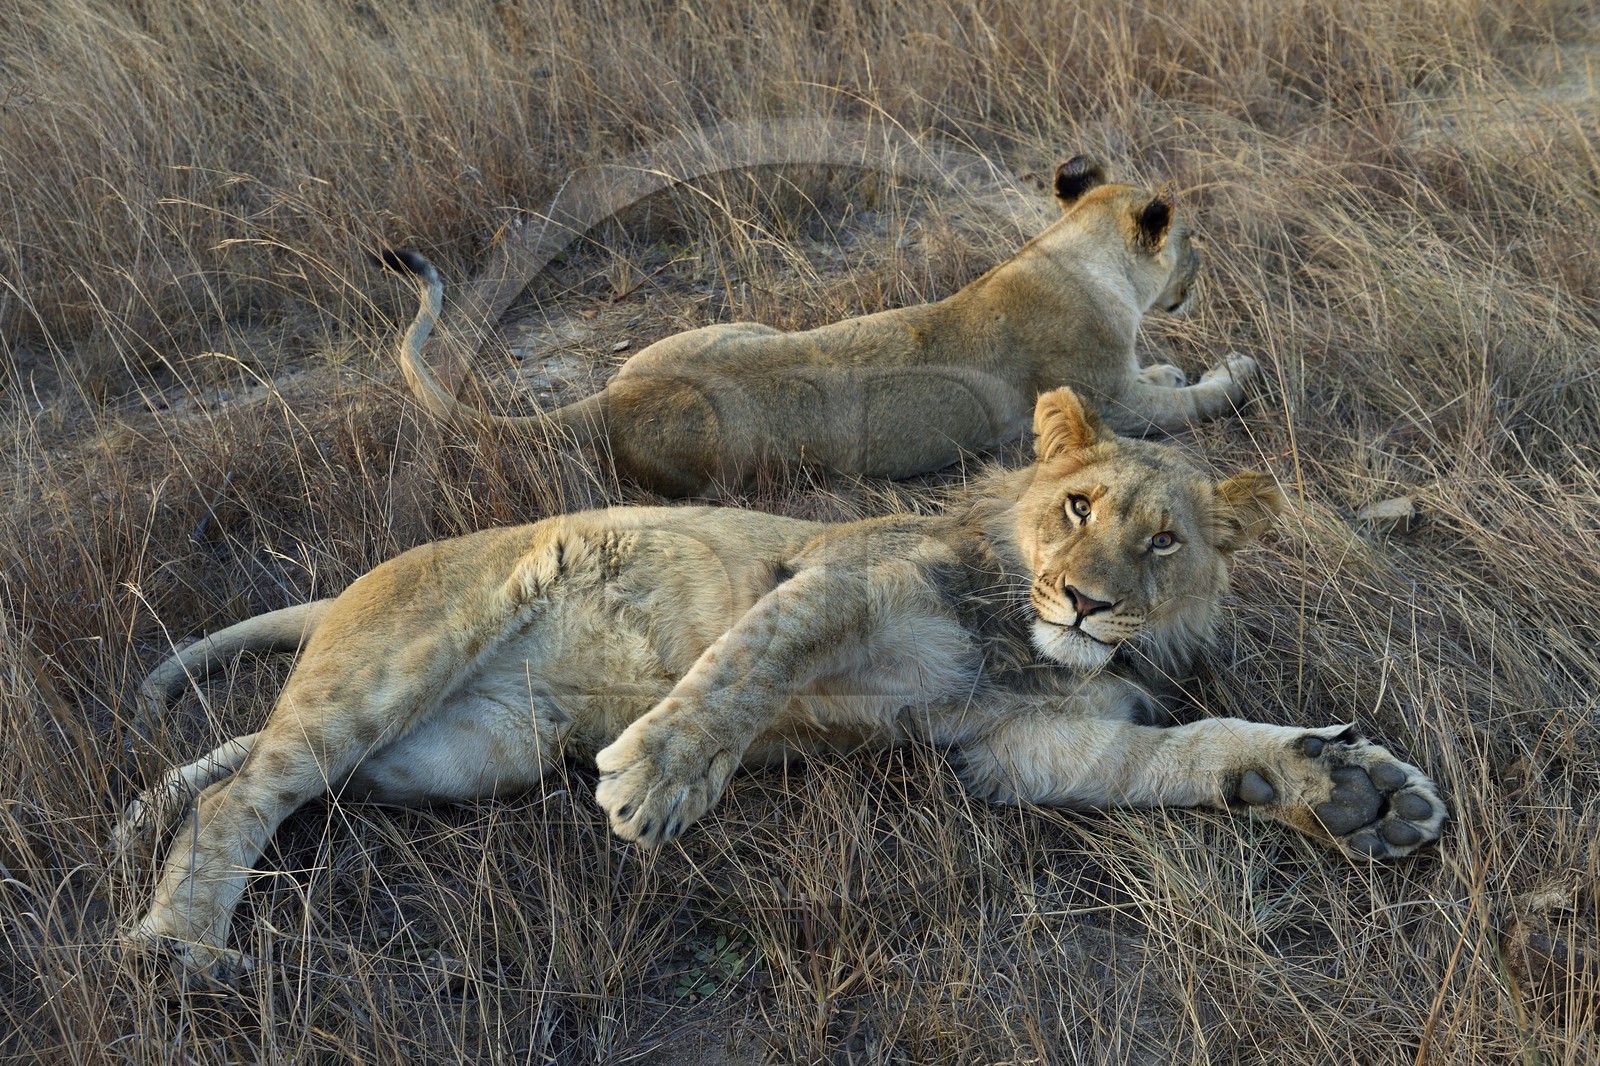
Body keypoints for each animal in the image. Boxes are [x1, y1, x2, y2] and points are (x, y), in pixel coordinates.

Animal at [118, 388, 1445, 973]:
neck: (1020, 636)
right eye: (1075, 506)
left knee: (269, 776)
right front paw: (659, 777)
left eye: (1164, 541)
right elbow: (746, 666)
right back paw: (178, 947)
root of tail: (354, 583)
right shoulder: (837, 573)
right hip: (400, 665)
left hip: (455, 755)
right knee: (238, 792)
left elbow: (1194, 750)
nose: (1087, 600)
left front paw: (1345, 792)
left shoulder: (1028, 748)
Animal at [385, 156, 1257, 497]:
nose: (1202, 272)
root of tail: (614, 400)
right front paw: (1236, 372)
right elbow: (1192, 403)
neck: (1076, 254)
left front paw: (1173, 364)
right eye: (1194, 242)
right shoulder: (1106, 409)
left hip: (733, 328)